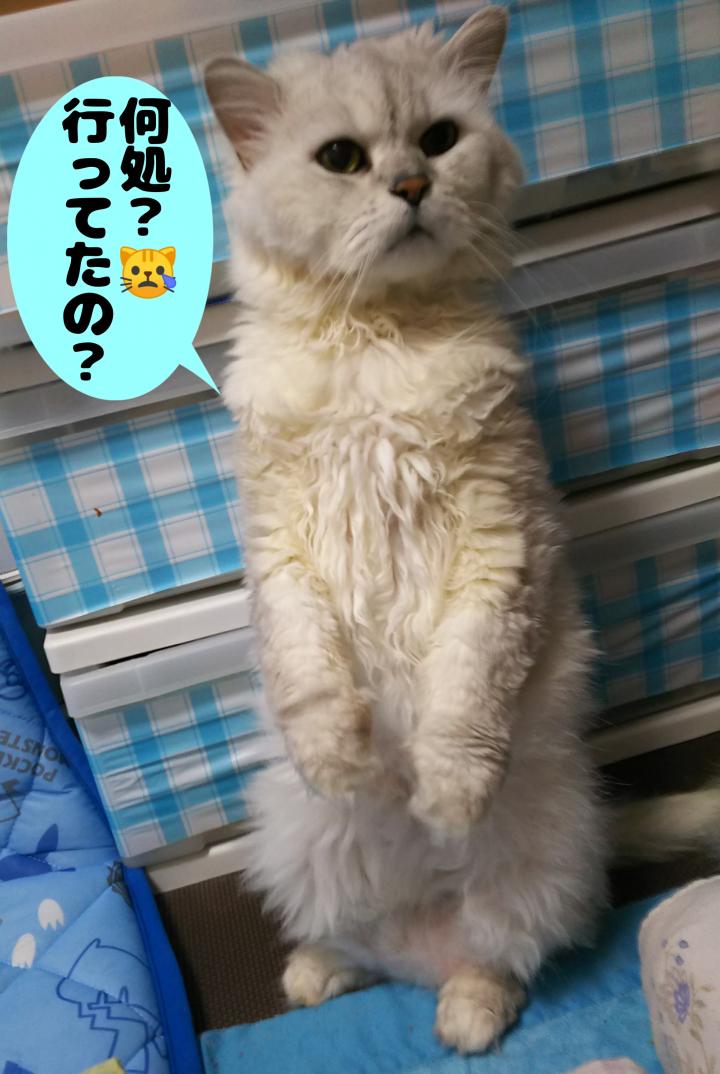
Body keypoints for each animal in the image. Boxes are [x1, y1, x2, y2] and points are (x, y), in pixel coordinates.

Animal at [204, 7, 609, 1053]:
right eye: (342, 158)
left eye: (438, 140)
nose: (414, 188)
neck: (374, 344)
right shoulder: (281, 552)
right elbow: (311, 676)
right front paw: (346, 759)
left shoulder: (501, 541)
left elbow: (463, 697)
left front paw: (444, 792)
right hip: (304, 848)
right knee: (363, 943)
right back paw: (315, 972)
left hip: (542, 865)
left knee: (489, 960)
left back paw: (461, 1013)